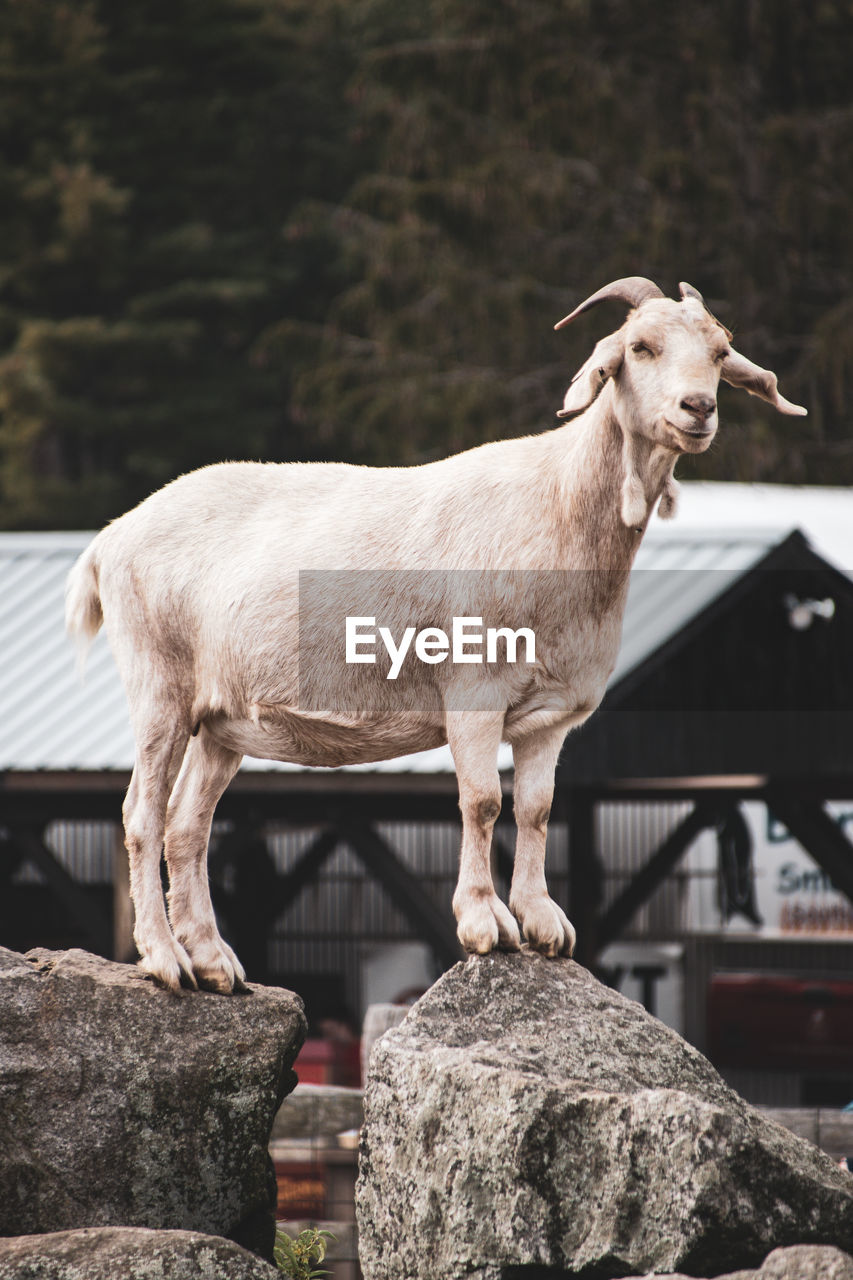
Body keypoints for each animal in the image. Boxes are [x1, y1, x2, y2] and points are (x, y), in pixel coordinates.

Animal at [66, 277, 804, 988]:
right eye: (640, 348)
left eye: (719, 352)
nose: (697, 409)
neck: (557, 508)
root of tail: (110, 537)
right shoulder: (473, 693)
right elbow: (481, 802)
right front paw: (485, 923)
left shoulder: (552, 715)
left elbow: (536, 809)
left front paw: (543, 925)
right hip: (159, 687)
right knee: (142, 818)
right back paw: (165, 962)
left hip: (220, 720)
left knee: (187, 827)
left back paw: (215, 965)